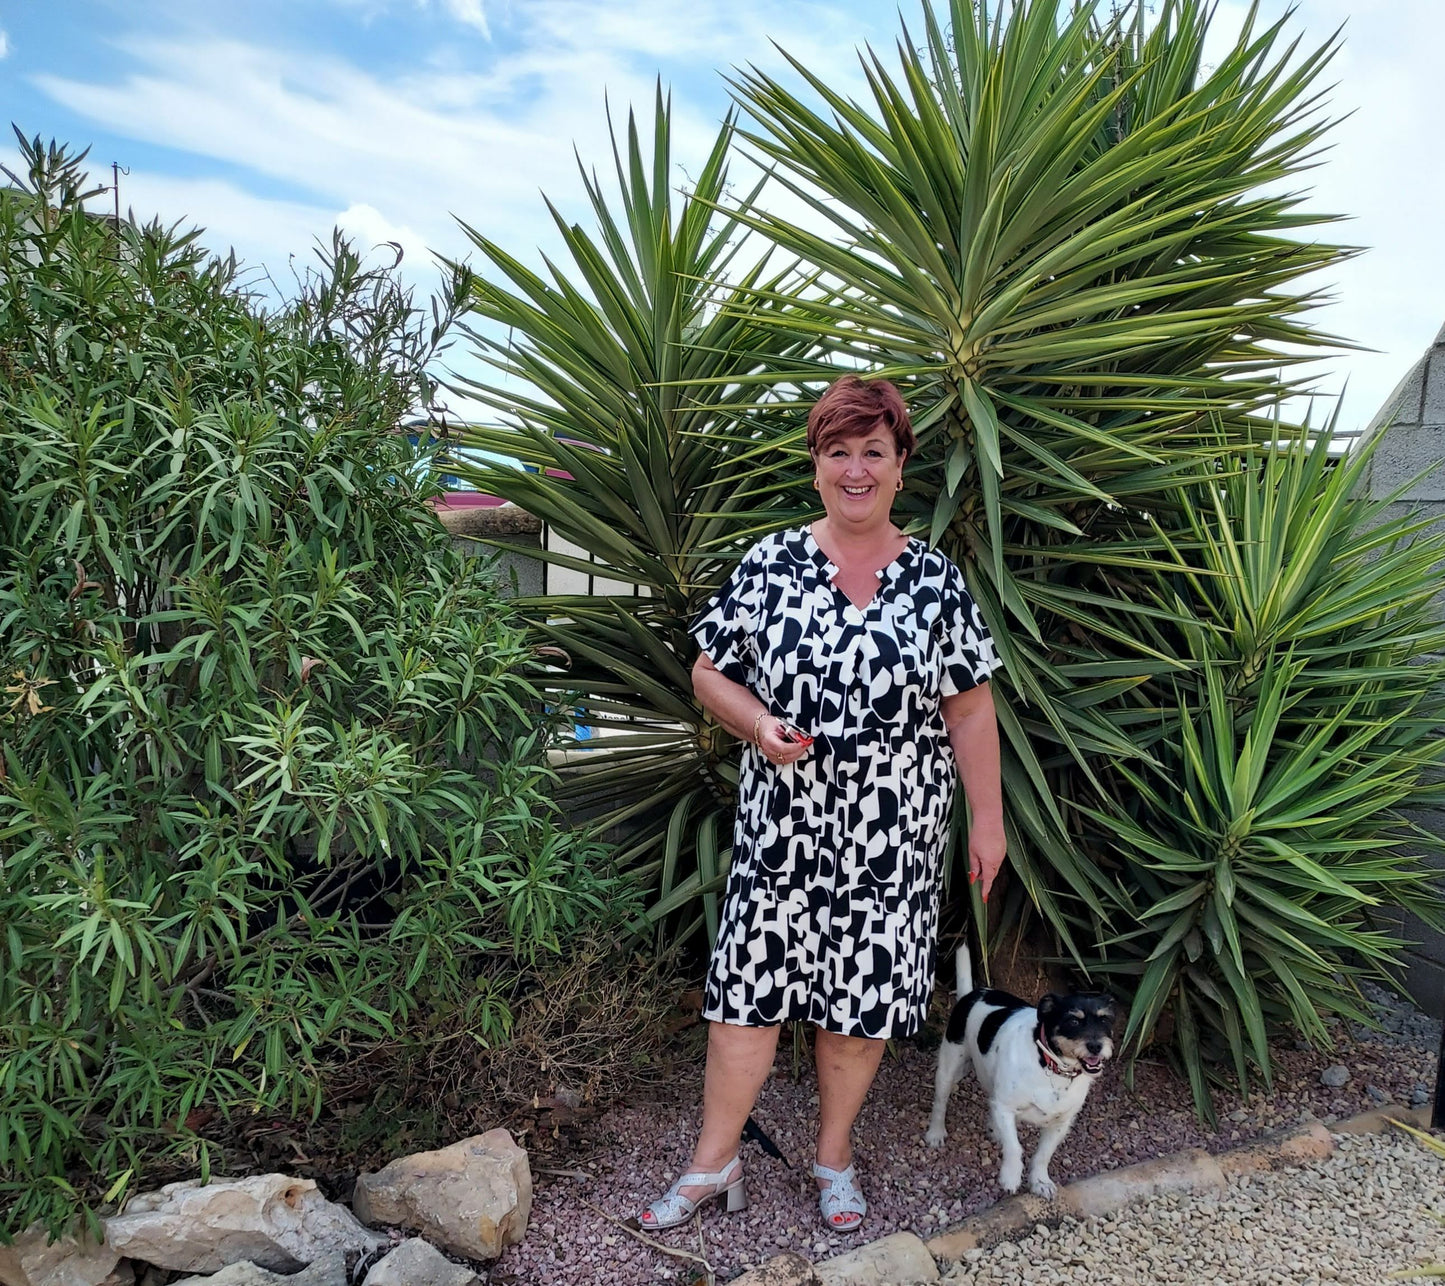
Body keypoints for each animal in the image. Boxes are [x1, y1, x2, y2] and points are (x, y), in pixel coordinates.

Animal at [924, 936, 1115, 1196]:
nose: (1096, 1046)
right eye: (1073, 1021)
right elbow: (1015, 1147)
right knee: (940, 1102)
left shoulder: (1060, 1124)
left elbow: (1043, 1155)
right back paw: (936, 1133)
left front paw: (1040, 1181)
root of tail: (971, 994)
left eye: (1105, 1019)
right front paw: (1011, 1177)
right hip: (949, 1068)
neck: (1051, 1067)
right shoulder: (1006, 1108)